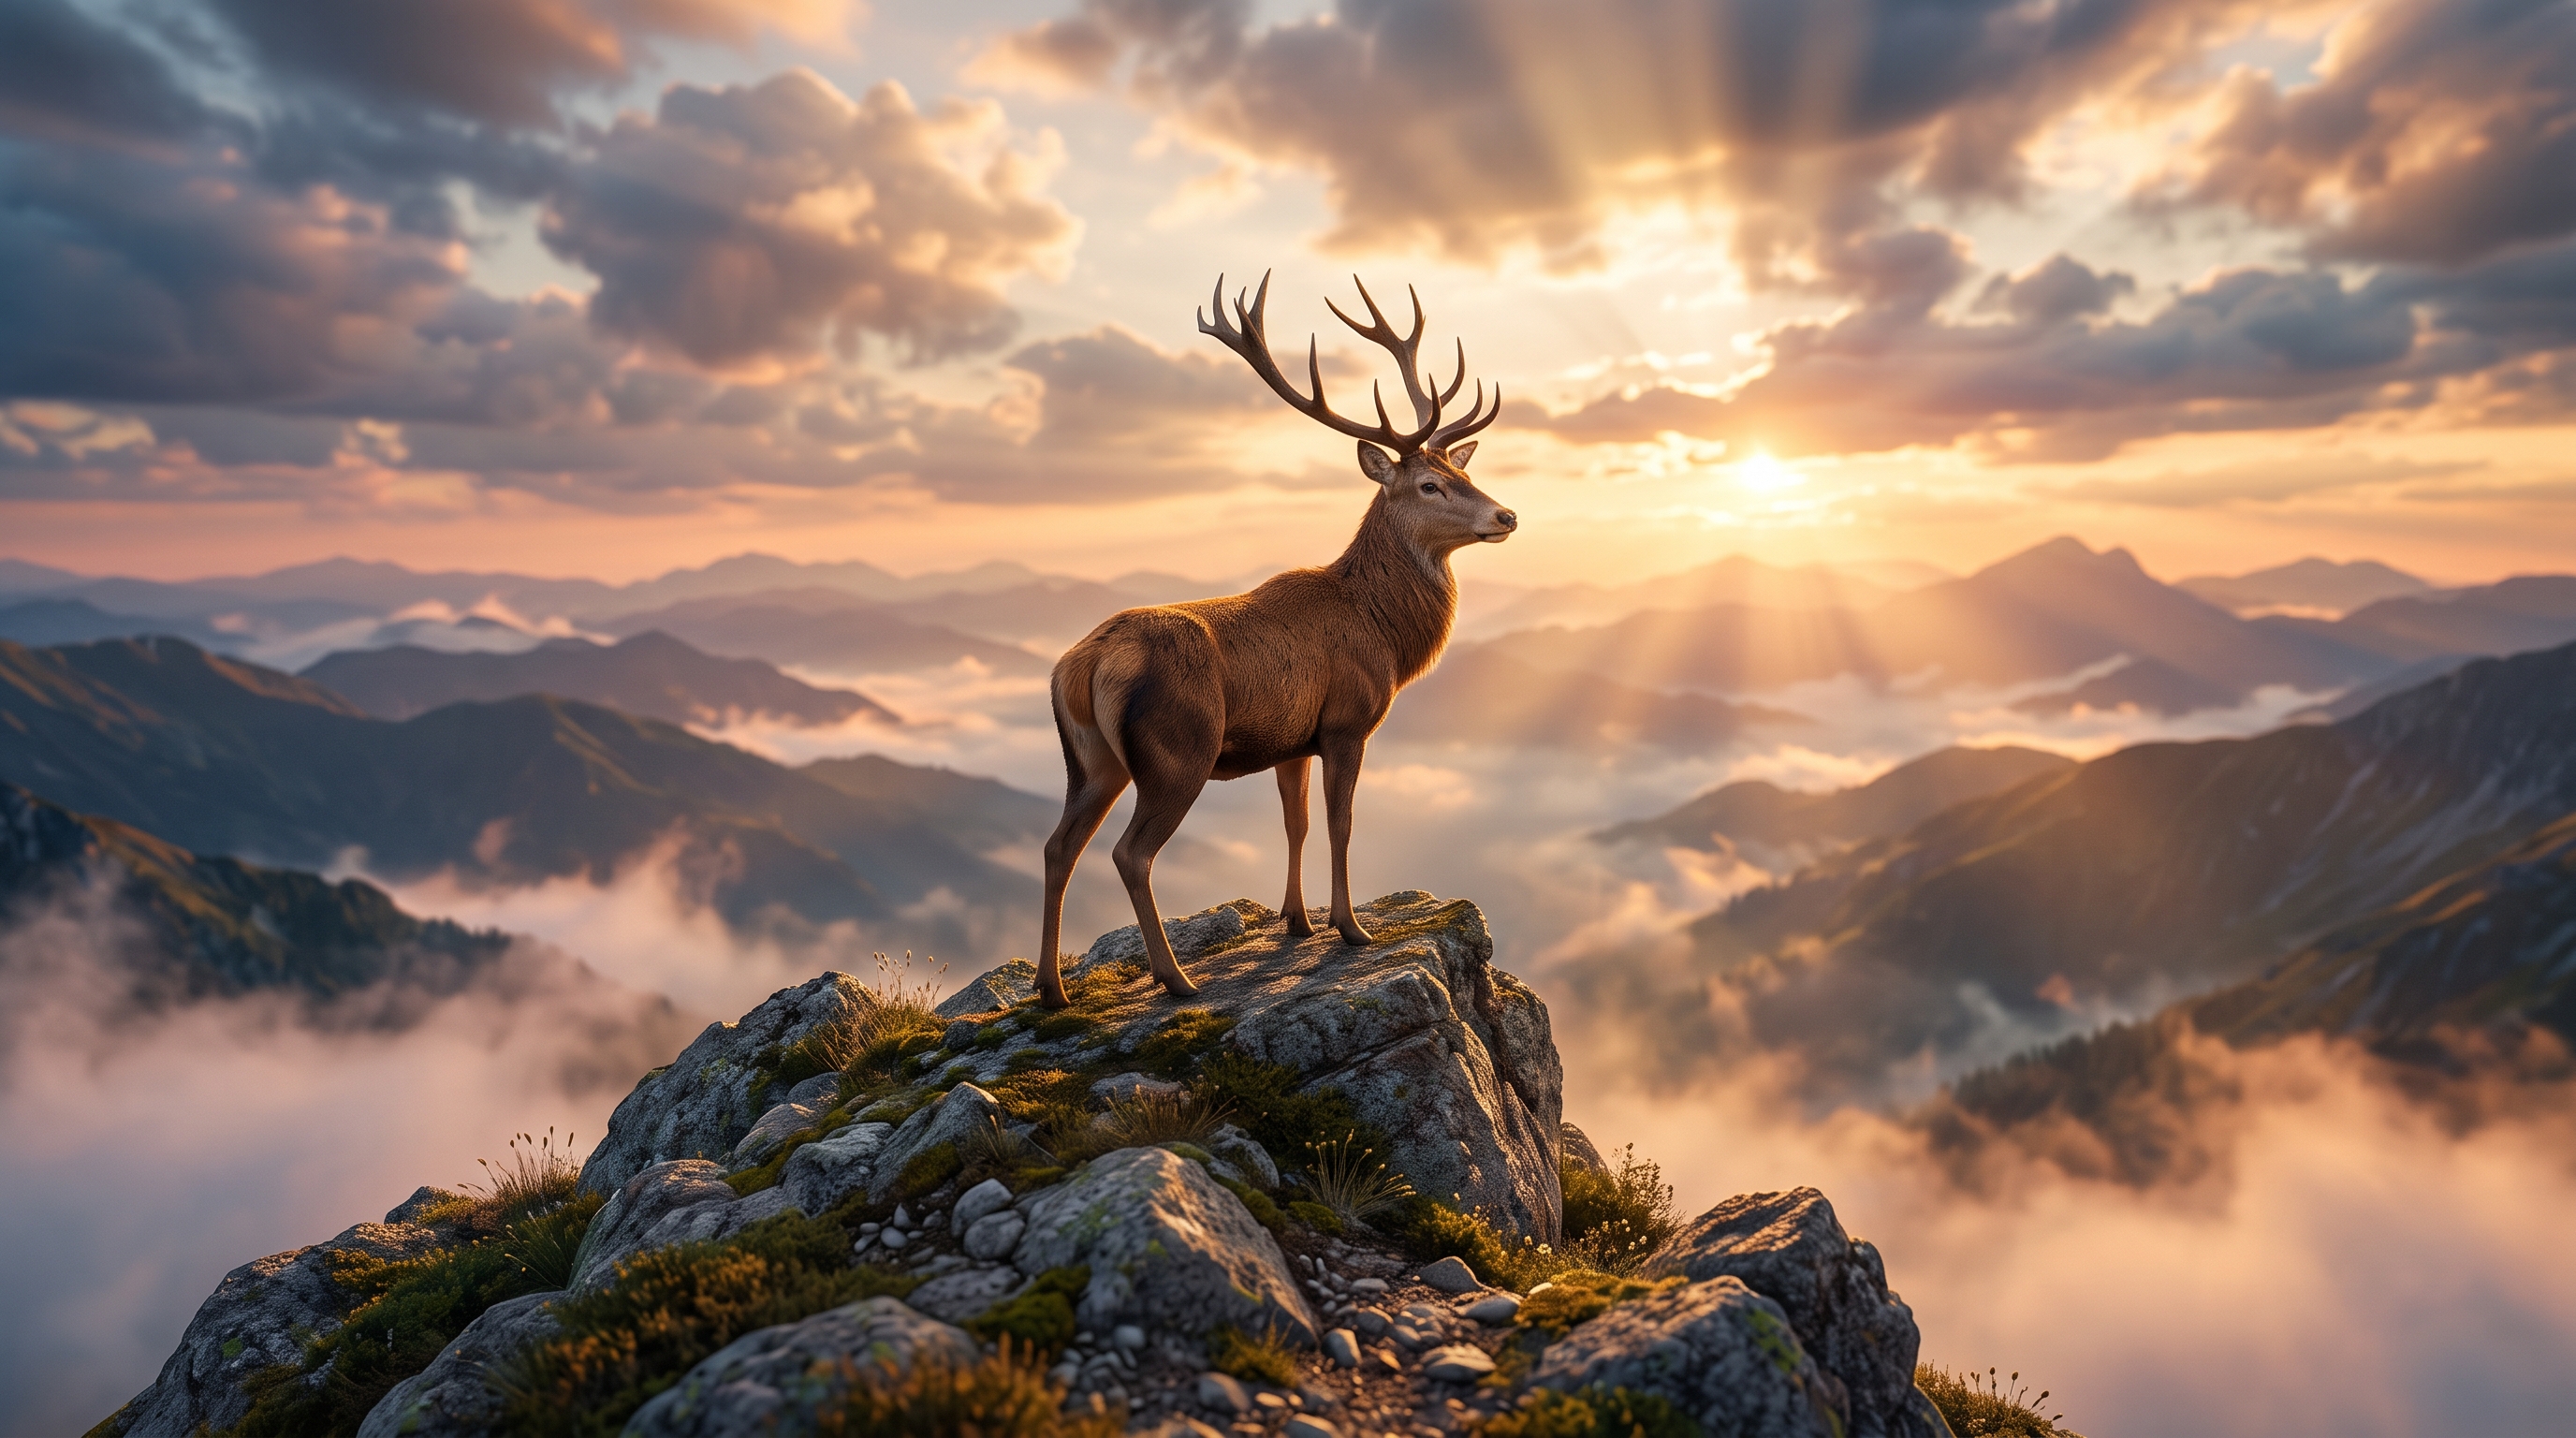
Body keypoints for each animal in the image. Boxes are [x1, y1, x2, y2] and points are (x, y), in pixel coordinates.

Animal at [1034, 272, 1515, 1008]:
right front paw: (1351, 927)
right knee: (1129, 852)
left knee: (1059, 846)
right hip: (1179, 749)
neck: (1385, 634)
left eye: (1466, 474)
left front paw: (1296, 920)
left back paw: (1051, 989)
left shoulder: (1293, 739)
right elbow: (1342, 822)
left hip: (1091, 760)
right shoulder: (1347, 719)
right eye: (1431, 484)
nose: (1506, 514)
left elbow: (1297, 822)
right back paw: (1176, 978)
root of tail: (1080, 667)